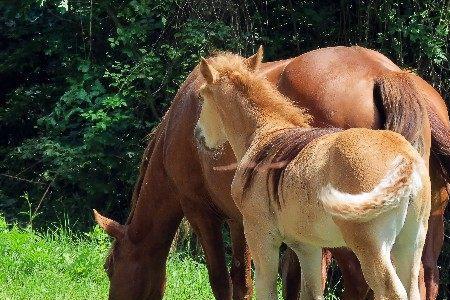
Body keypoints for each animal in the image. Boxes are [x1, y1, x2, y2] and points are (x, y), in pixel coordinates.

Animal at [93, 45, 448, 298]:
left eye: (111, 267)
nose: (200, 137)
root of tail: (390, 73)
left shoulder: (201, 211)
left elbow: (224, 280)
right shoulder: (246, 223)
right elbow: (250, 280)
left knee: (366, 283)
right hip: (425, 227)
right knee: (424, 282)